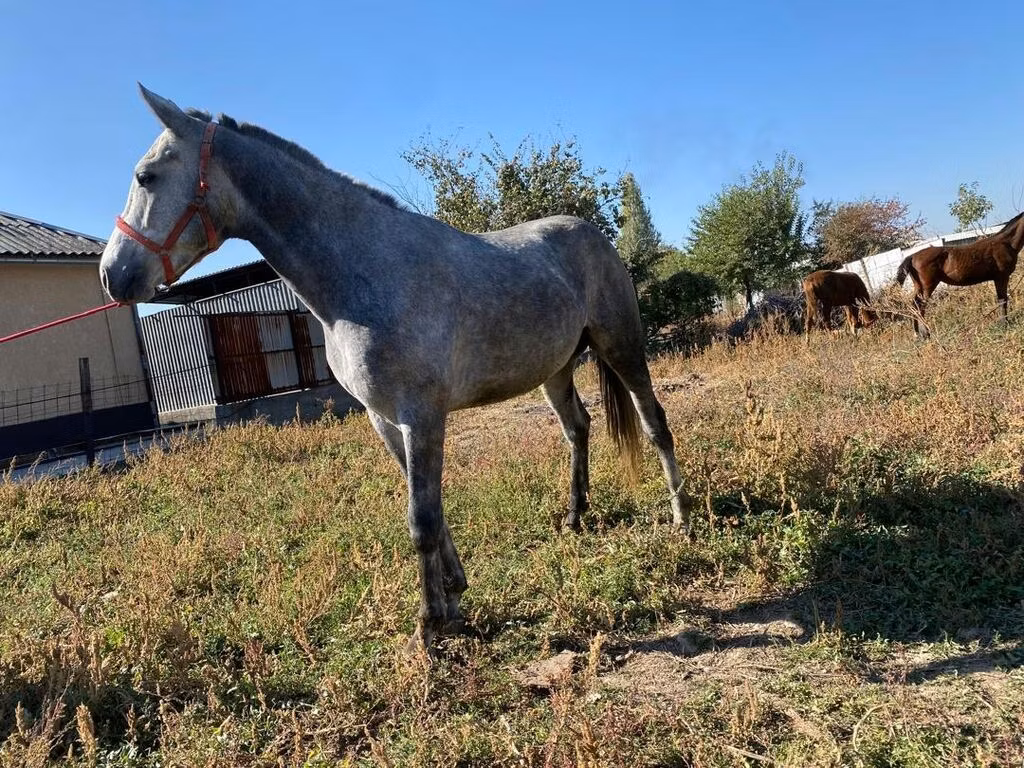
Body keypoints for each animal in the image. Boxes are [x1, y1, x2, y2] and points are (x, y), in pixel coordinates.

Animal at [99, 86, 689, 653]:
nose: (113, 275)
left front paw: (428, 628)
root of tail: (592, 234)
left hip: (622, 347)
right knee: (577, 429)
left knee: (655, 422)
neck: (363, 275)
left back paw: (682, 518)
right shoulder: (383, 419)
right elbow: (431, 510)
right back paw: (574, 518)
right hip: (555, 368)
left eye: (146, 176)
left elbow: (422, 520)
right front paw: (454, 597)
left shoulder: (421, 416)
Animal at [895, 212, 1024, 337]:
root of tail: (912, 256)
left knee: (914, 305)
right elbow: (1003, 300)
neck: (1006, 243)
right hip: (928, 286)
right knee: (920, 305)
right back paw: (926, 334)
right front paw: (1005, 324)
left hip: (919, 286)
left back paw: (918, 334)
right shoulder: (1001, 277)